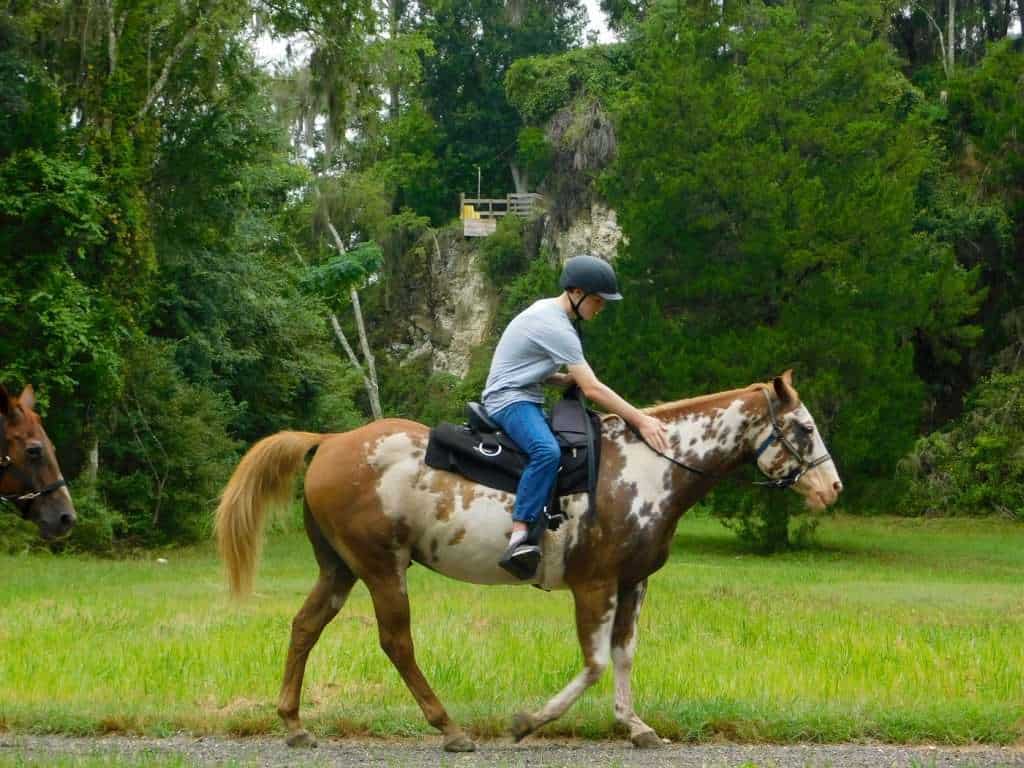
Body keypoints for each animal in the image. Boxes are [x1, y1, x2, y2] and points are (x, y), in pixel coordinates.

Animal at [215, 371, 841, 752]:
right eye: (806, 427)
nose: (832, 488)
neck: (649, 467)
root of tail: (329, 441)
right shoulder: (595, 585)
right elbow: (593, 663)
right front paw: (528, 722)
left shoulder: (633, 583)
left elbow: (623, 655)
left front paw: (635, 726)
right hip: (381, 568)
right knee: (396, 643)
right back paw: (449, 728)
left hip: (340, 569)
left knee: (305, 627)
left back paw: (294, 724)